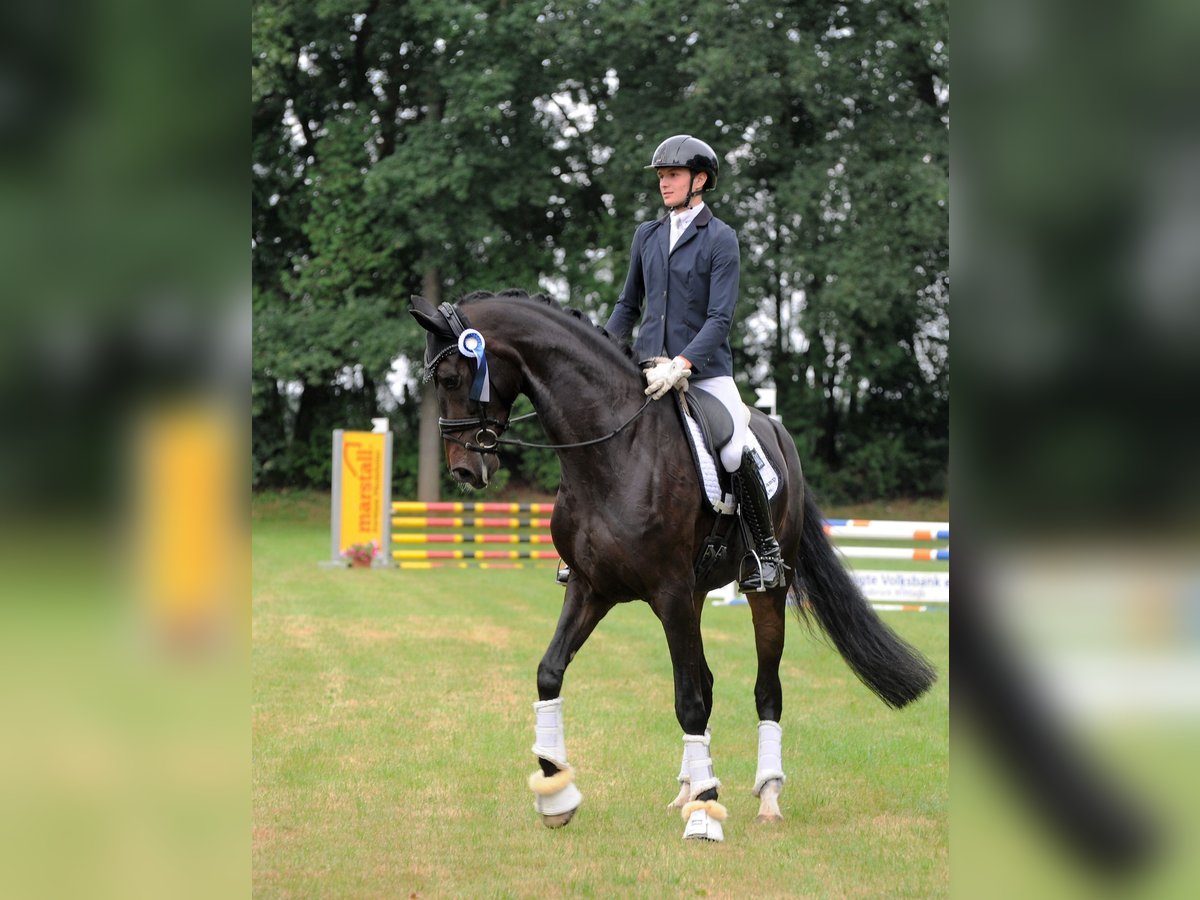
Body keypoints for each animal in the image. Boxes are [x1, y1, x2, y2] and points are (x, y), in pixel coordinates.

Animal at [412, 290, 936, 844]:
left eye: (452, 378)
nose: (465, 470)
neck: (611, 450)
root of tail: (774, 428)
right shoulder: (591, 588)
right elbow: (551, 673)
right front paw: (556, 794)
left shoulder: (668, 591)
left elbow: (689, 700)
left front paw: (706, 813)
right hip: (696, 596)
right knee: (706, 679)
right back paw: (687, 788)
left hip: (762, 590)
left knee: (765, 690)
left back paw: (766, 796)